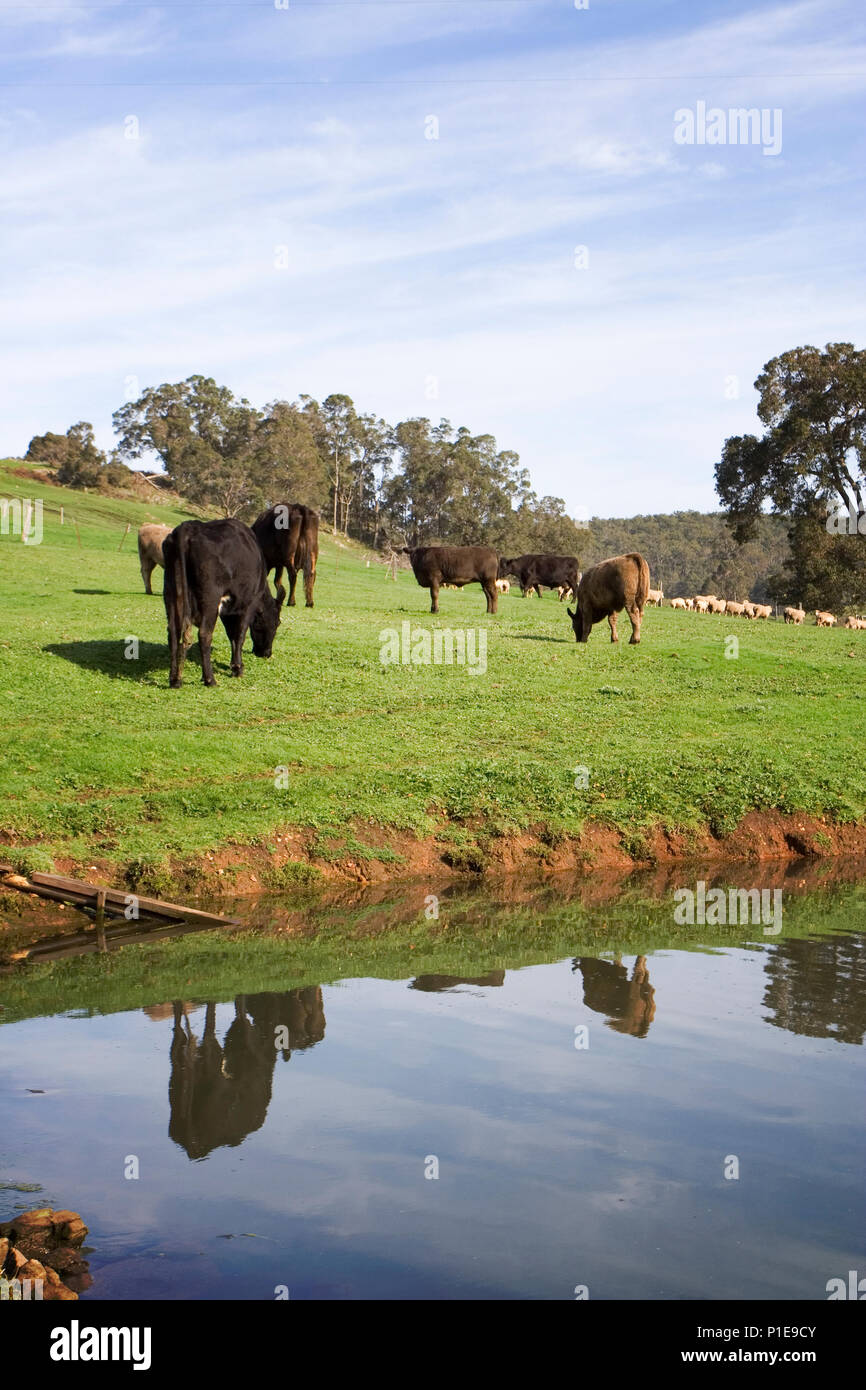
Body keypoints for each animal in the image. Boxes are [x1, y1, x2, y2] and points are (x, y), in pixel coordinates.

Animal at [163, 518, 282, 687]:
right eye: (277, 623)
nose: (266, 653)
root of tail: (189, 527)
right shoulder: (248, 604)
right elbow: (239, 634)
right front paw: (238, 668)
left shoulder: (228, 610)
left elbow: (231, 634)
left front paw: (234, 665)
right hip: (210, 599)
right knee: (204, 634)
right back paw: (210, 679)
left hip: (171, 593)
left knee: (173, 633)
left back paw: (175, 680)